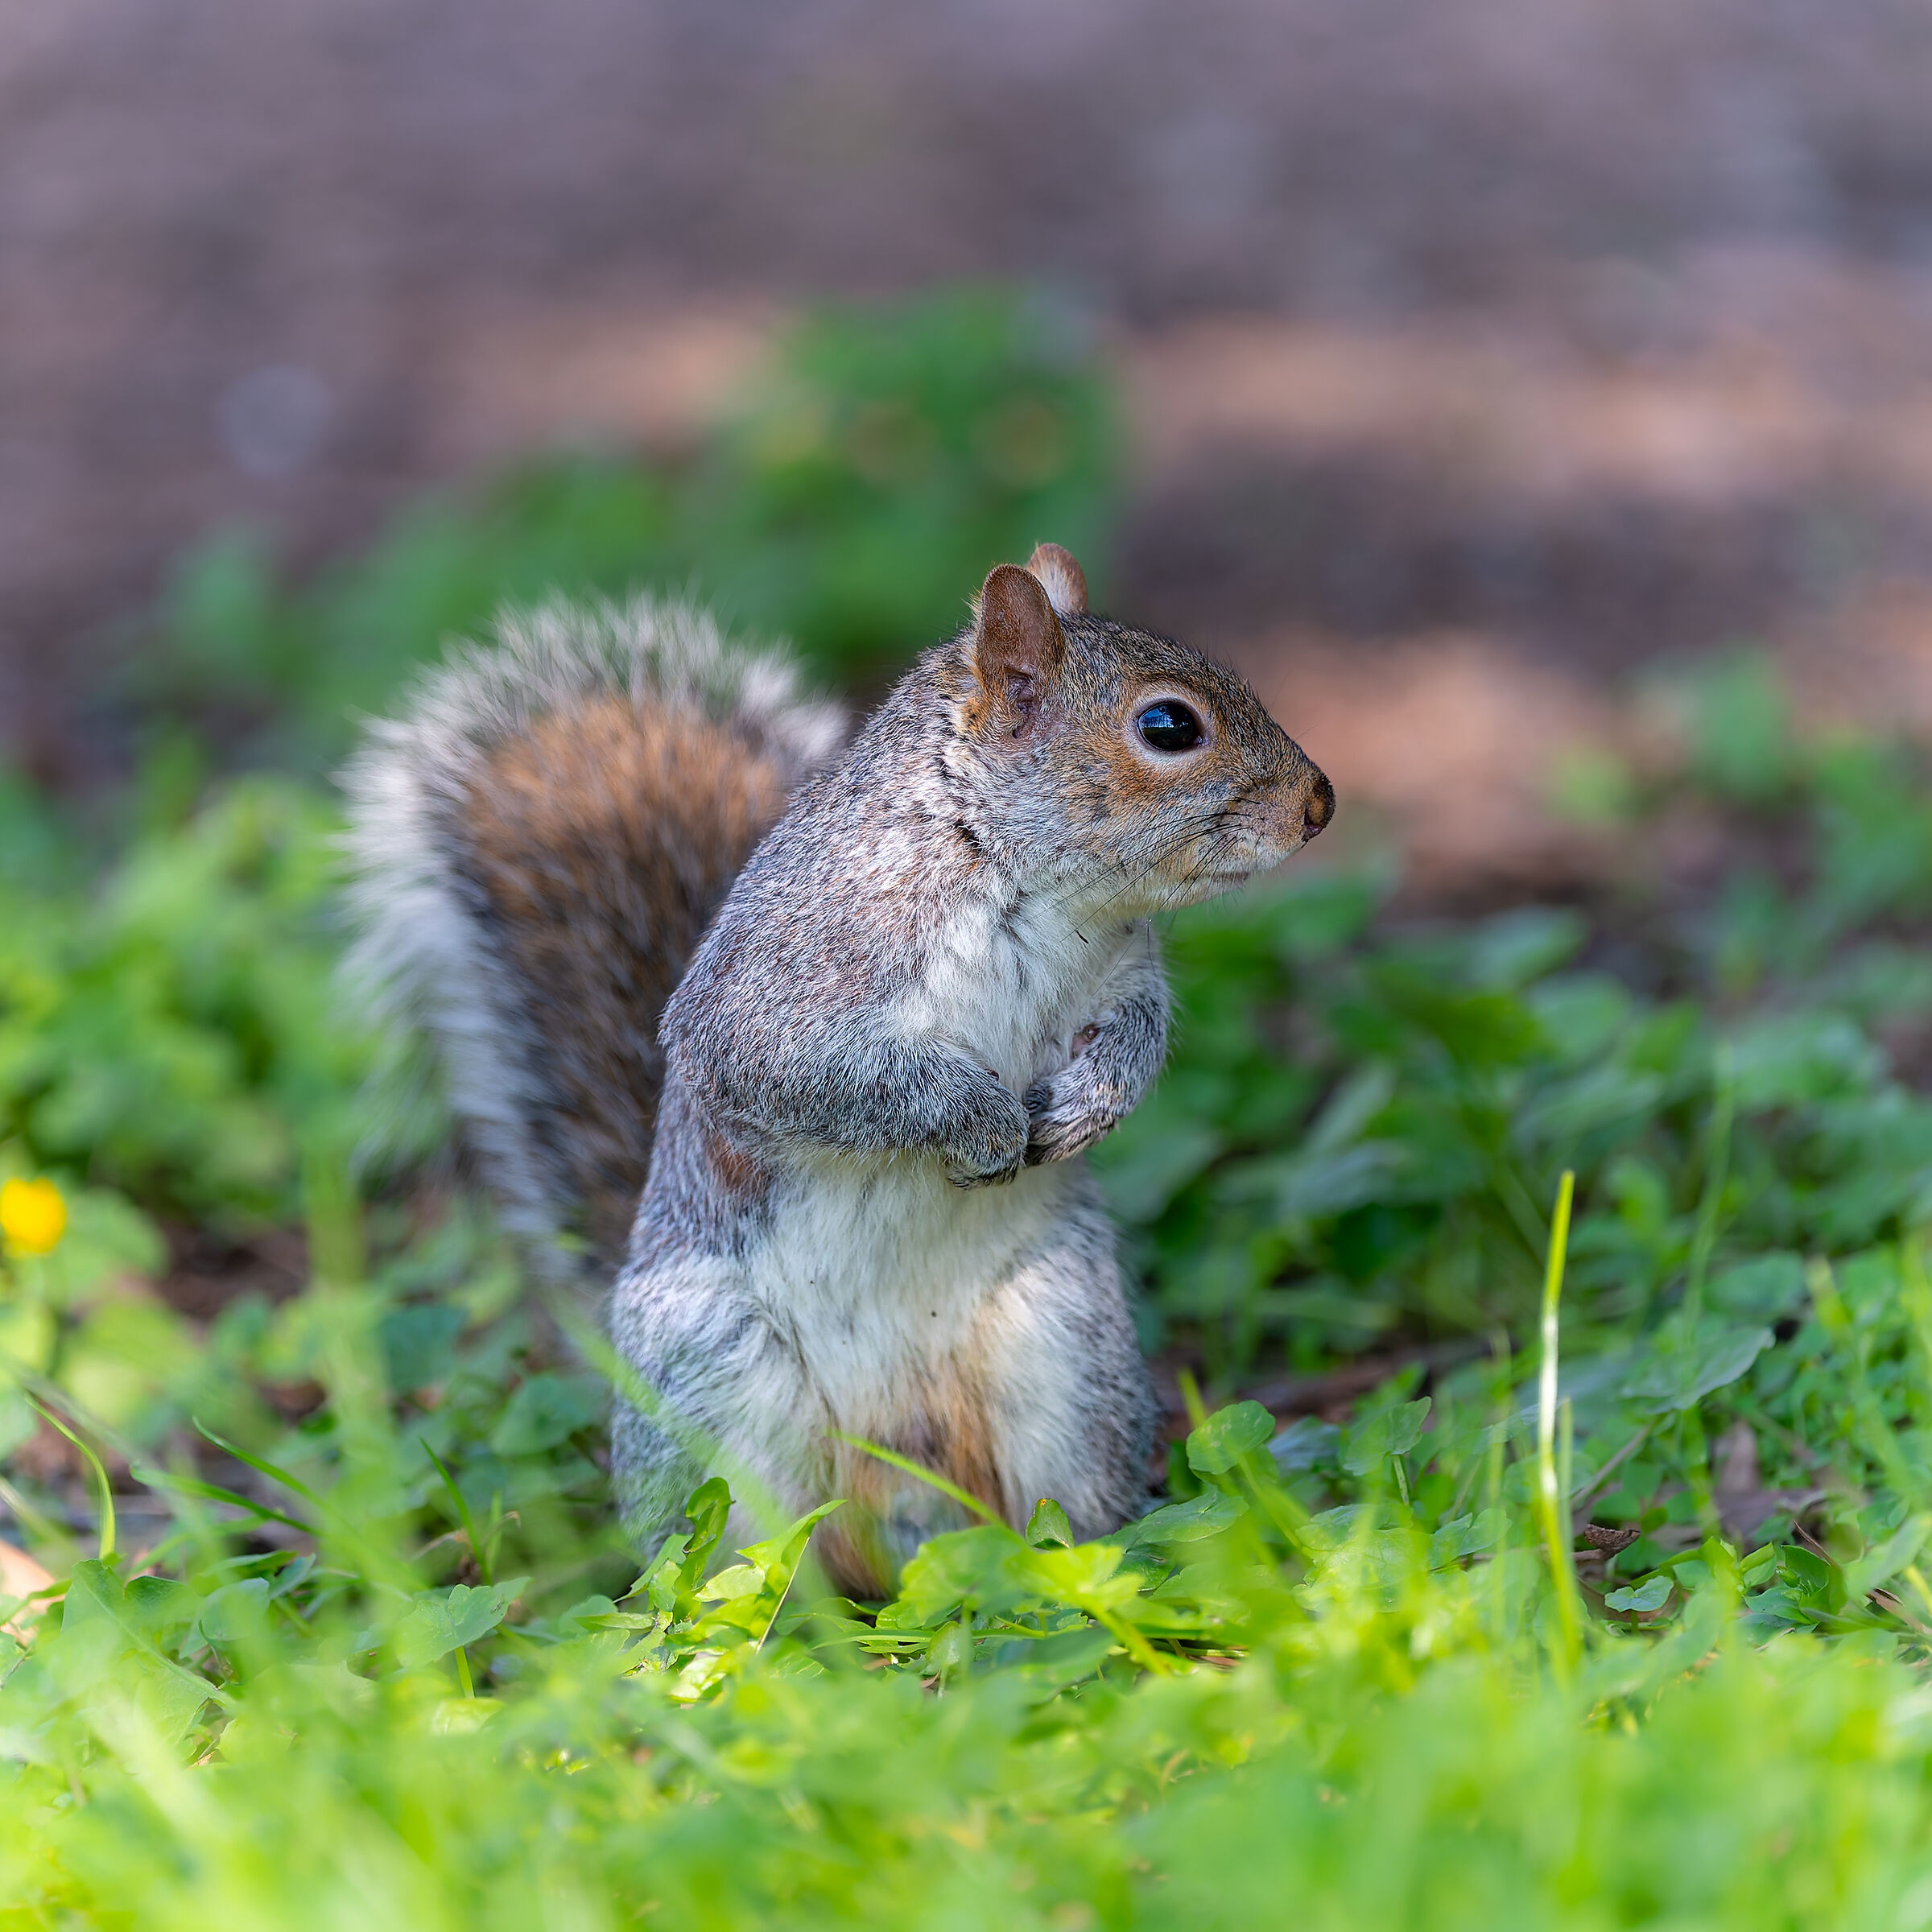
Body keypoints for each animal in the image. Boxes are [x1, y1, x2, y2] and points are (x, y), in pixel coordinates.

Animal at [345, 546, 1333, 1596]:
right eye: (1168, 726)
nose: (1321, 803)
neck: (1033, 889)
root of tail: (905, 1483)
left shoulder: (1124, 974)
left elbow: (1137, 1037)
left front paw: (1091, 1106)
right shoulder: (781, 989)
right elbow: (812, 1079)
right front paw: (980, 1122)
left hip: (1070, 1345)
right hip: (715, 1386)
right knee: (733, 1561)